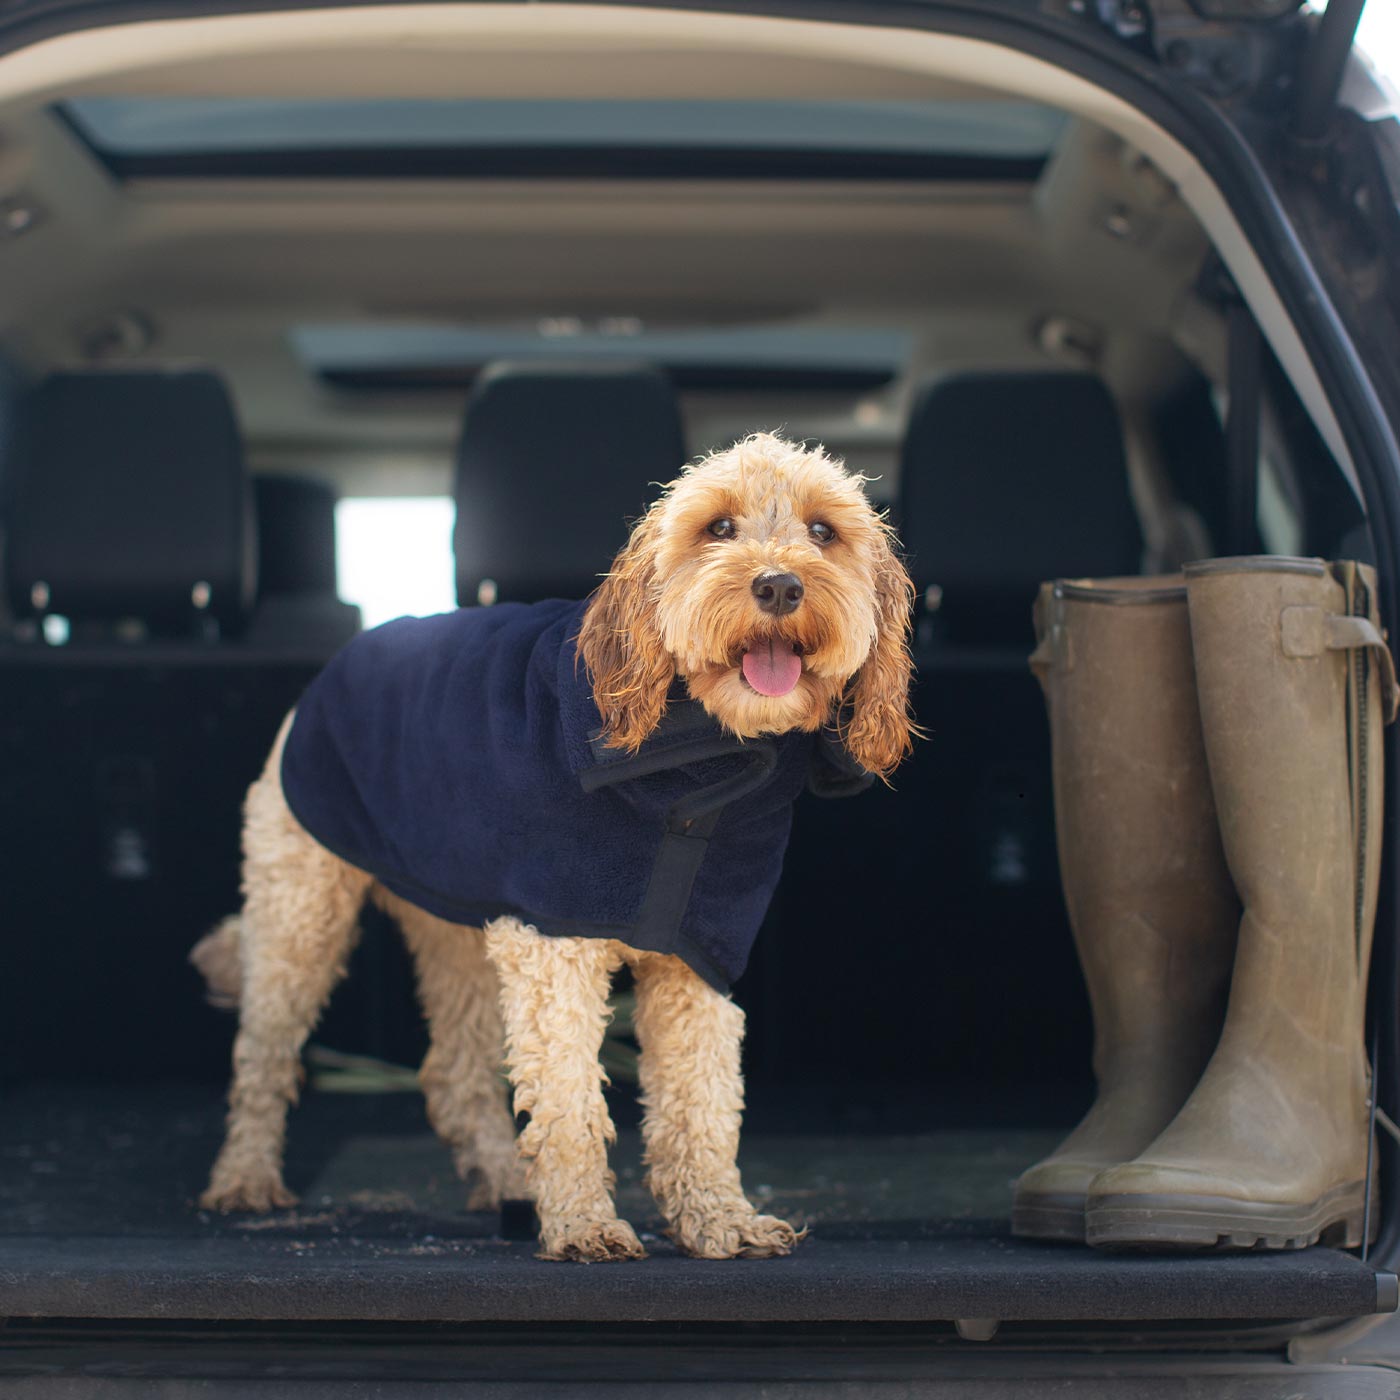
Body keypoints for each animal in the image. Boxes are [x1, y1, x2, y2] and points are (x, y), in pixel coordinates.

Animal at [197, 431, 918, 1265]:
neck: (703, 764)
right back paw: (245, 1178)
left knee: (454, 1073)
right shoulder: (554, 945)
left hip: (456, 927)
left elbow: (701, 1102)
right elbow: (570, 1095)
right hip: (300, 912)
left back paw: (507, 1178)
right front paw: (583, 1224)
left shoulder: (697, 957)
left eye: (824, 532)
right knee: (263, 1056)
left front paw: (717, 1218)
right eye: (718, 528)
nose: (777, 586)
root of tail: (342, 661)